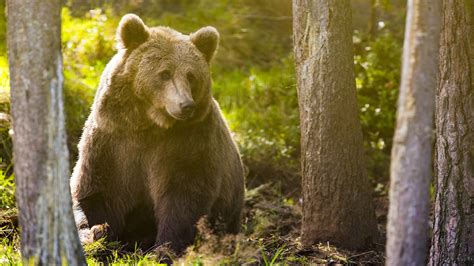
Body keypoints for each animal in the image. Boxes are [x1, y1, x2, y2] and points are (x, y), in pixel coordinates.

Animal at [71, 13, 248, 255]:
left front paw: (165, 249)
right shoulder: (111, 140)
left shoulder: (189, 144)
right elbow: (95, 192)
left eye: (191, 75)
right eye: (165, 73)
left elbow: (184, 199)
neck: (150, 125)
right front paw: (95, 233)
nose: (186, 105)